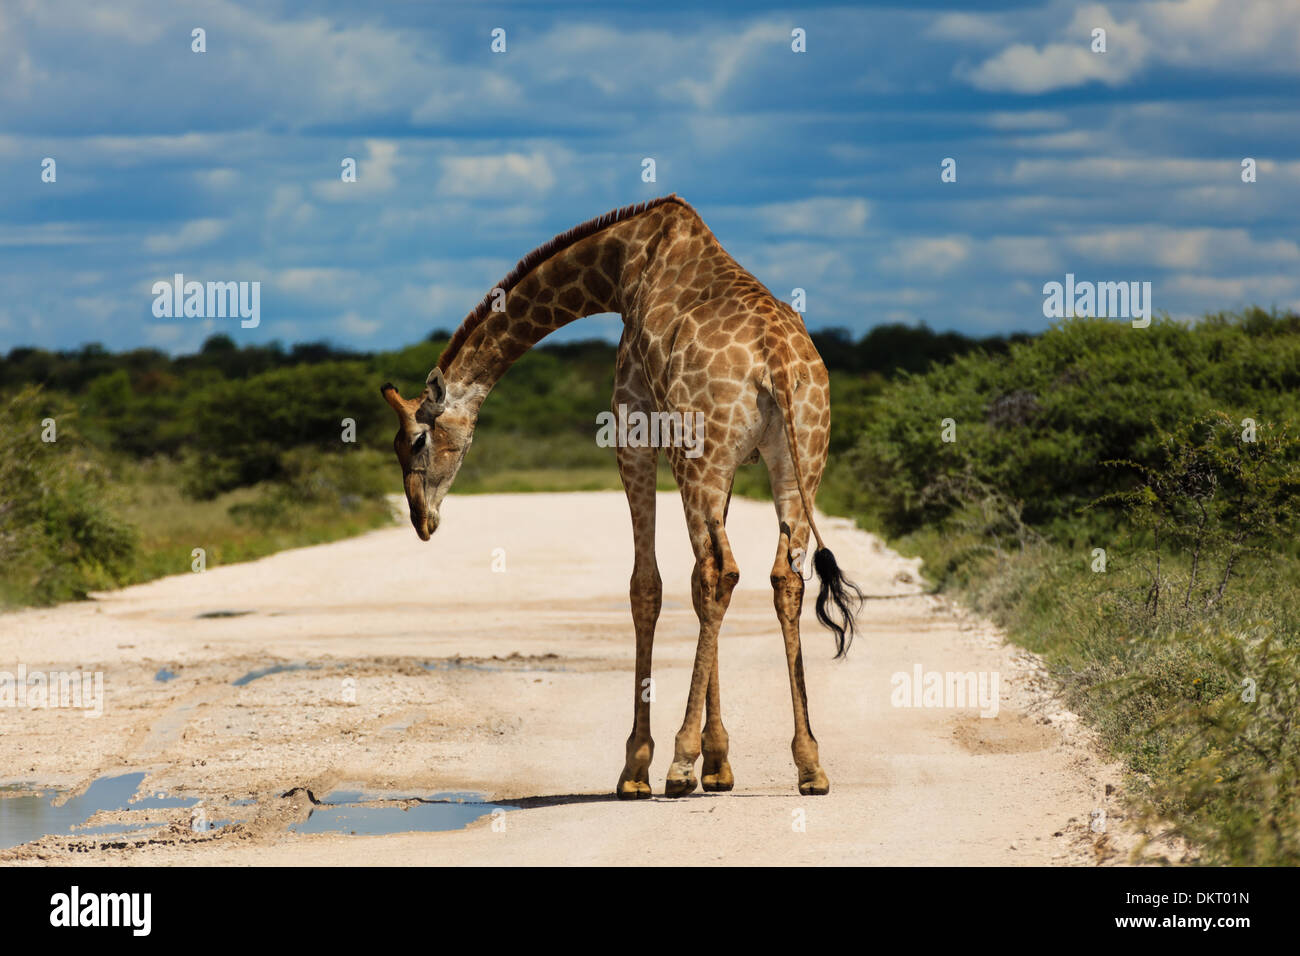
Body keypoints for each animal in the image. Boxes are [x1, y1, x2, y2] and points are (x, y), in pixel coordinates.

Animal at [379, 196, 863, 801]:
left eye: (416, 441)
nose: (421, 518)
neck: (617, 266)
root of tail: (776, 359)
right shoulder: (725, 465)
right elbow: (691, 583)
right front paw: (719, 764)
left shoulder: (633, 432)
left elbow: (647, 586)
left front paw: (640, 765)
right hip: (799, 461)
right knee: (780, 578)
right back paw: (809, 763)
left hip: (704, 455)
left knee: (719, 572)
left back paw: (677, 763)